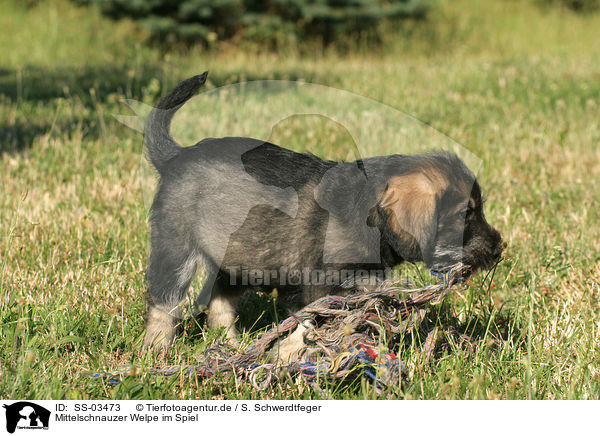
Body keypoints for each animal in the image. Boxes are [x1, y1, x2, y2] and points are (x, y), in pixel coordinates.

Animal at [142, 72, 502, 350]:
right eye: (466, 214)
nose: (500, 247)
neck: (369, 214)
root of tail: (176, 156)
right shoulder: (322, 284)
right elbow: (311, 325)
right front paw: (289, 357)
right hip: (175, 248)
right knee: (163, 303)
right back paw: (157, 350)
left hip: (239, 254)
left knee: (220, 302)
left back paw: (229, 346)